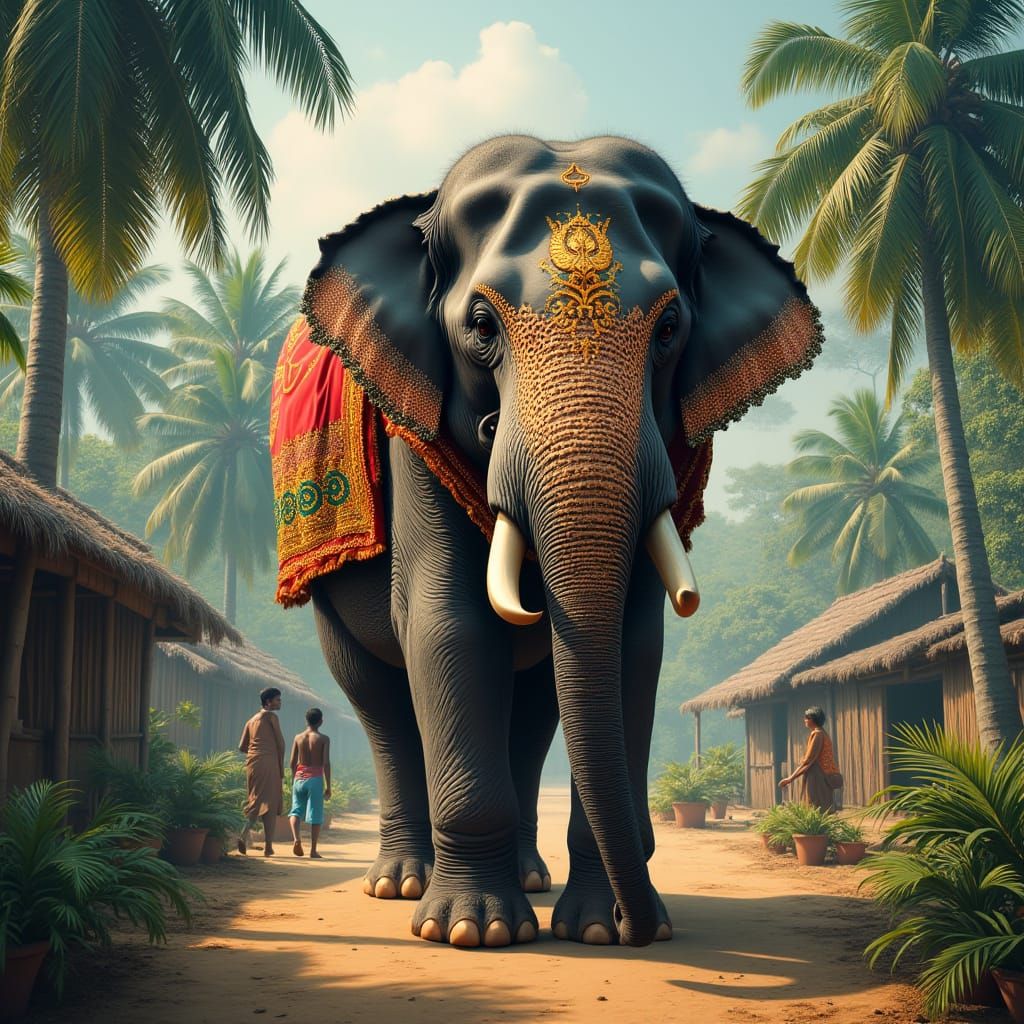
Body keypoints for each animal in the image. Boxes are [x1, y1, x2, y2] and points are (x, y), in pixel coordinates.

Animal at [275, 134, 822, 949]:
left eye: (669, 330)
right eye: (480, 326)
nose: (641, 927)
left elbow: (632, 643)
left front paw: (598, 929)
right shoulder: (413, 435)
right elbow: (448, 625)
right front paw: (474, 932)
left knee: (532, 714)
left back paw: (529, 880)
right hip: (326, 607)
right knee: (379, 702)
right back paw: (403, 886)